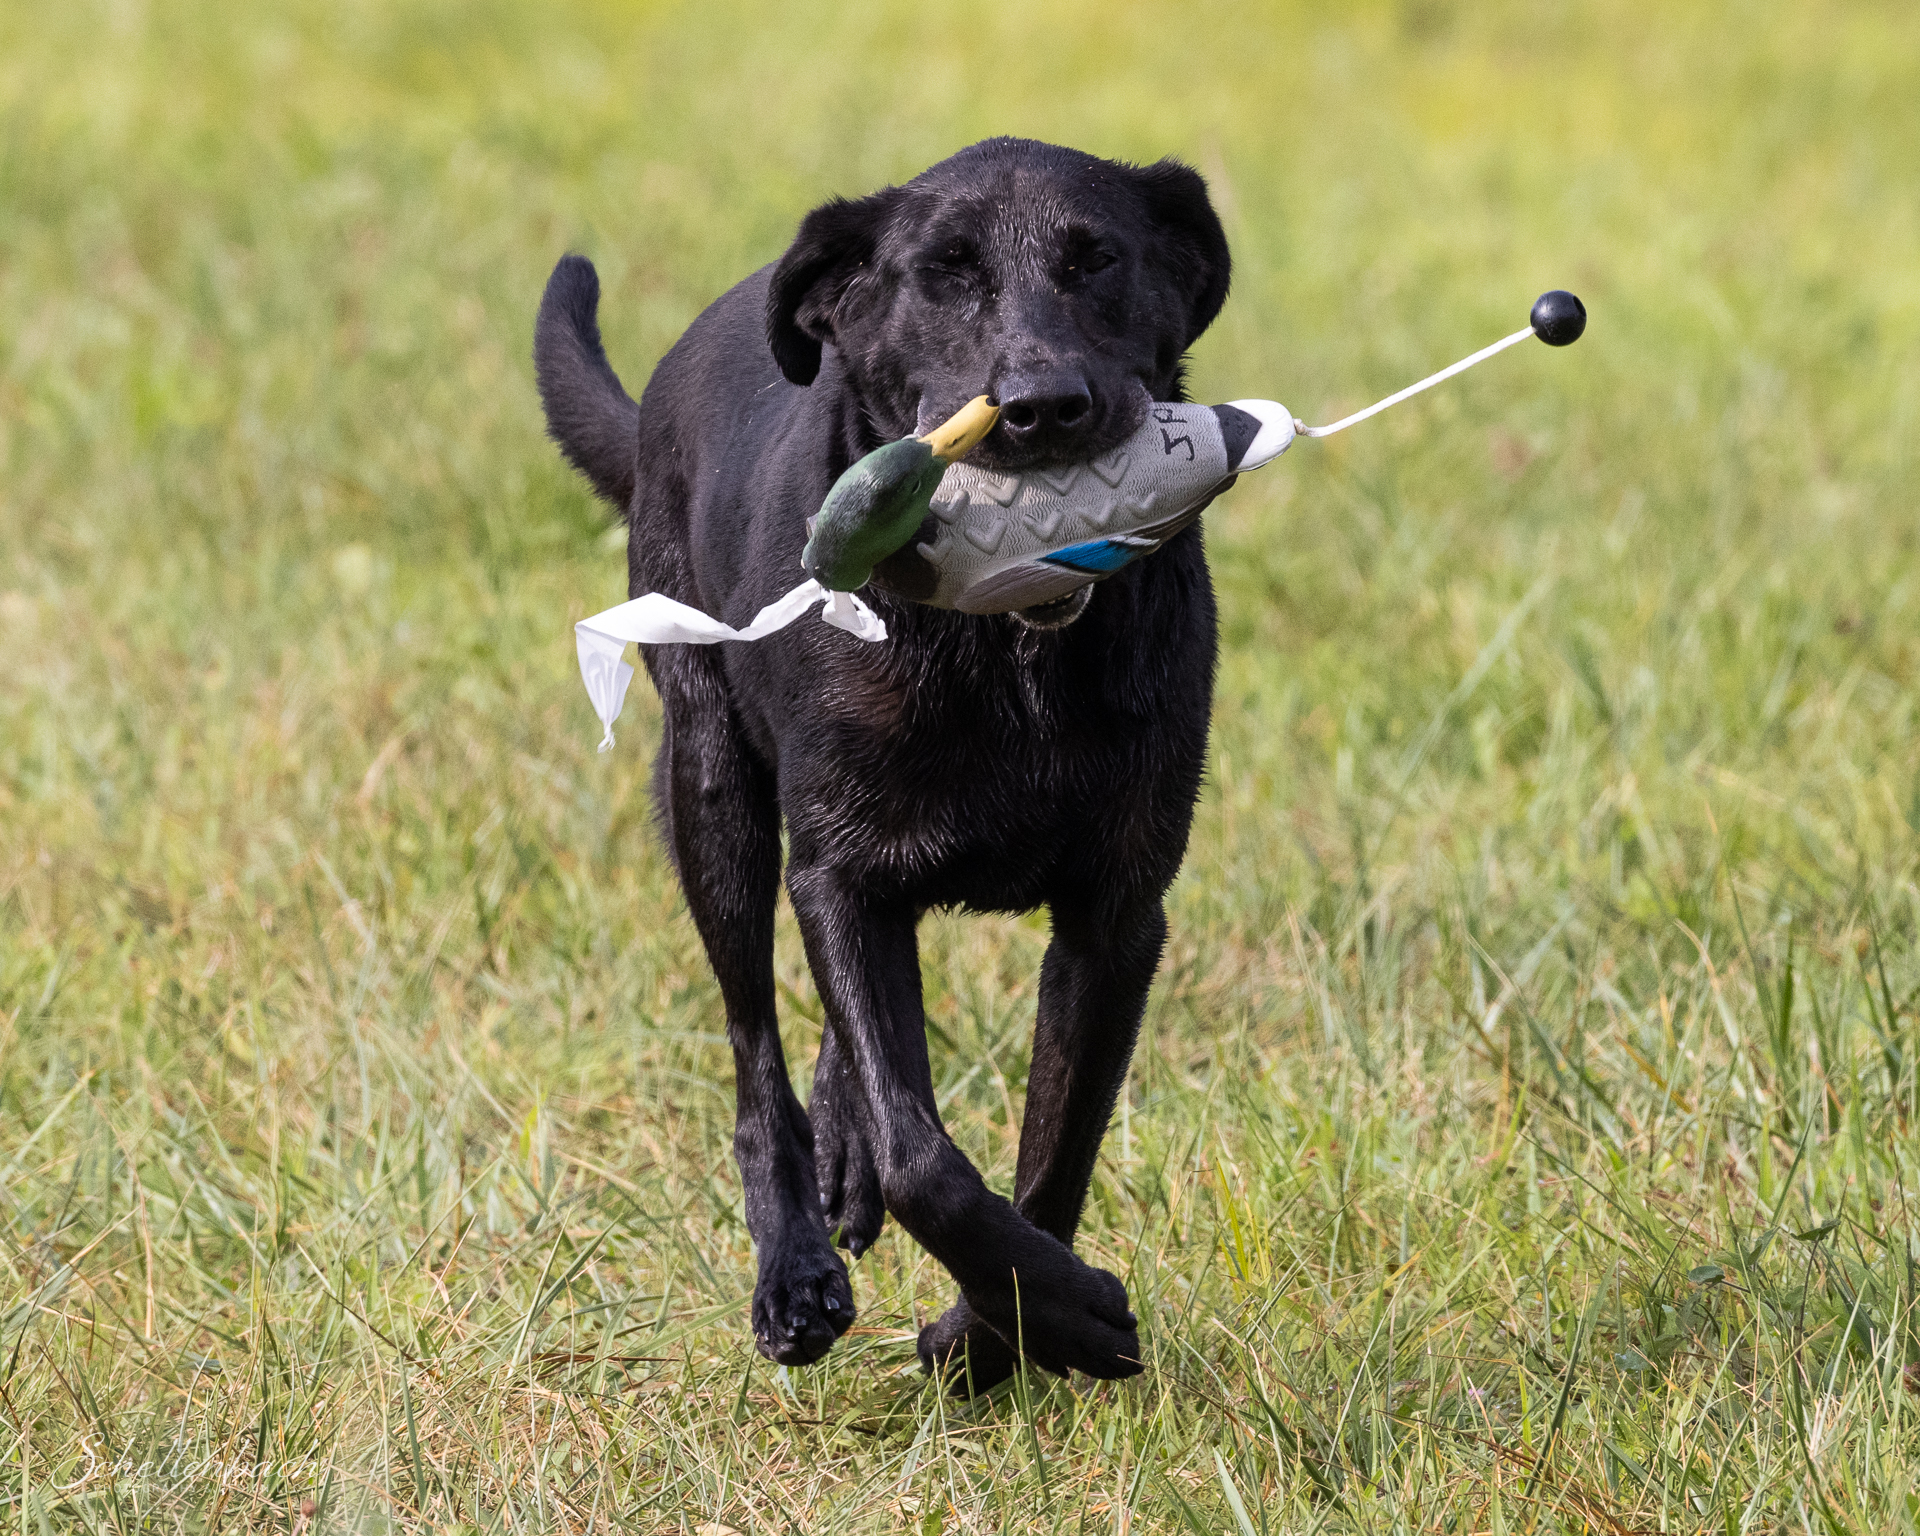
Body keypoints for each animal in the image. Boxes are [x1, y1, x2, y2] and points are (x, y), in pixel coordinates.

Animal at [535, 137, 1230, 1389]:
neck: (1007, 656)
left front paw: (1002, 1332)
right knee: (757, 1050)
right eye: (943, 274)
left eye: (1097, 259)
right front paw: (1053, 1309)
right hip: (712, 789)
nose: (1045, 408)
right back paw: (794, 1266)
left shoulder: (1116, 919)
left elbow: (1057, 1144)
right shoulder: (845, 870)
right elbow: (923, 1158)